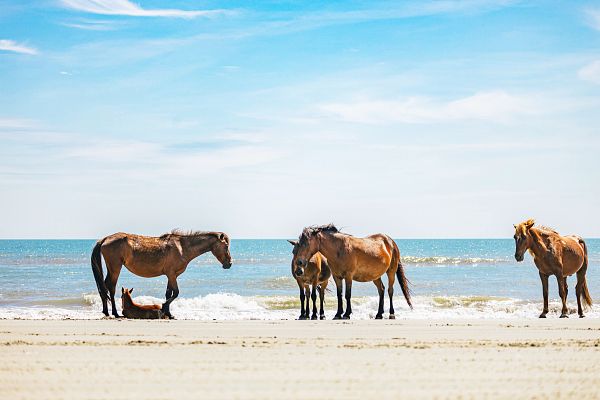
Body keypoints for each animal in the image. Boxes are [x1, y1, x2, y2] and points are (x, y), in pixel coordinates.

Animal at [91, 228, 232, 318]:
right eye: (226, 246)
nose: (229, 264)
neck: (182, 247)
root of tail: (105, 239)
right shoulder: (172, 275)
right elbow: (176, 293)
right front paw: (164, 308)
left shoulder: (171, 275)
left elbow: (169, 293)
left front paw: (168, 313)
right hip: (115, 267)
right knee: (111, 287)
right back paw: (114, 313)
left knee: (104, 286)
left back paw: (106, 311)